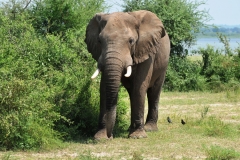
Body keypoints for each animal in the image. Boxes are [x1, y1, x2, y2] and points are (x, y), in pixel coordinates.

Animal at [84, 10, 171, 139]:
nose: (110, 136)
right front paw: (100, 137)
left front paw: (138, 136)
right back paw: (130, 128)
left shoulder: (146, 50)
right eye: (99, 41)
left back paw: (149, 129)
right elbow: (104, 87)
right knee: (132, 92)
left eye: (131, 41)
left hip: (163, 65)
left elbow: (140, 86)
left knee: (154, 91)